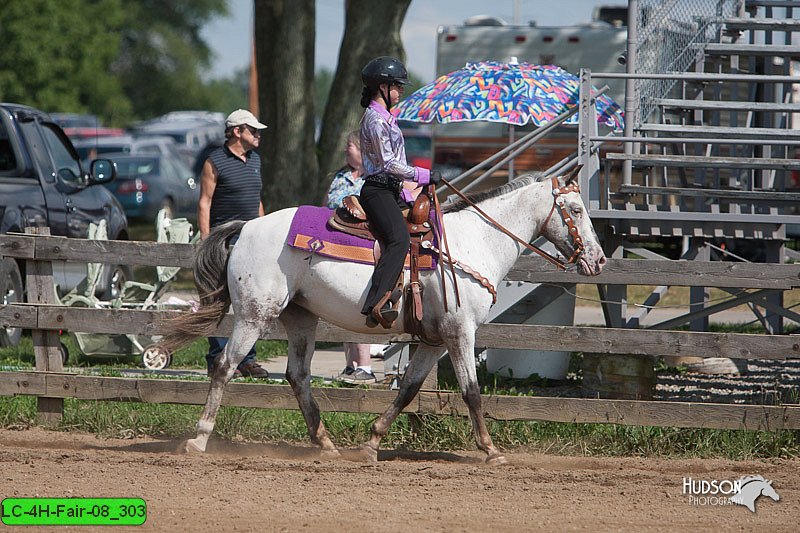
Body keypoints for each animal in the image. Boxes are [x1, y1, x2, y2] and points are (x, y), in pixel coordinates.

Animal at [167, 172, 608, 464]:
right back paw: (198, 440)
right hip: (254, 315)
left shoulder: (433, 339)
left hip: (299, 317)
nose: (599, 260)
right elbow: (471, 391)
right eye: (575, 209)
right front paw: (491, 450)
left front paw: (372, 443)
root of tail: (247, 227)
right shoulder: (460, 331)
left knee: (297, 375)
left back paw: (325, 444)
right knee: (225, 367)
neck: (475, 241)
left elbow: (409, 388)